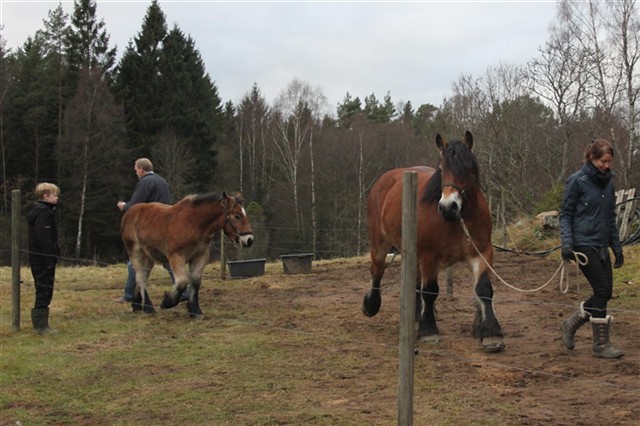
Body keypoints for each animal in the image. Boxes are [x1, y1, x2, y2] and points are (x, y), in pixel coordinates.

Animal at [120, 191, 252, 318]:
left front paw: (195, 311)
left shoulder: (200, 257)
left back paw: (137, 305)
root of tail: (130, 212)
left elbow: (195, 282)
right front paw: (167, 302)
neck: (194, 223)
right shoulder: (176, 257)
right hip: (136, 252)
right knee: (141, 277)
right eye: (237, 216)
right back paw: (148, 308)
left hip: (149, 257)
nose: (249, 239)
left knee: (142, 276)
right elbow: (182, 282)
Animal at [362, 131, 502, 352]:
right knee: (377, 270)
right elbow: (430, 291)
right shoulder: (430, 257)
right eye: (442, 169)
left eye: (468, 168)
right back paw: (372, 305)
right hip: (380, 245)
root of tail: (384, 180)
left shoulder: (481, 253)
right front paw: (429, 330)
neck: (458, 221)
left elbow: (484, 289)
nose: (448, 207)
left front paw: (490, 333)